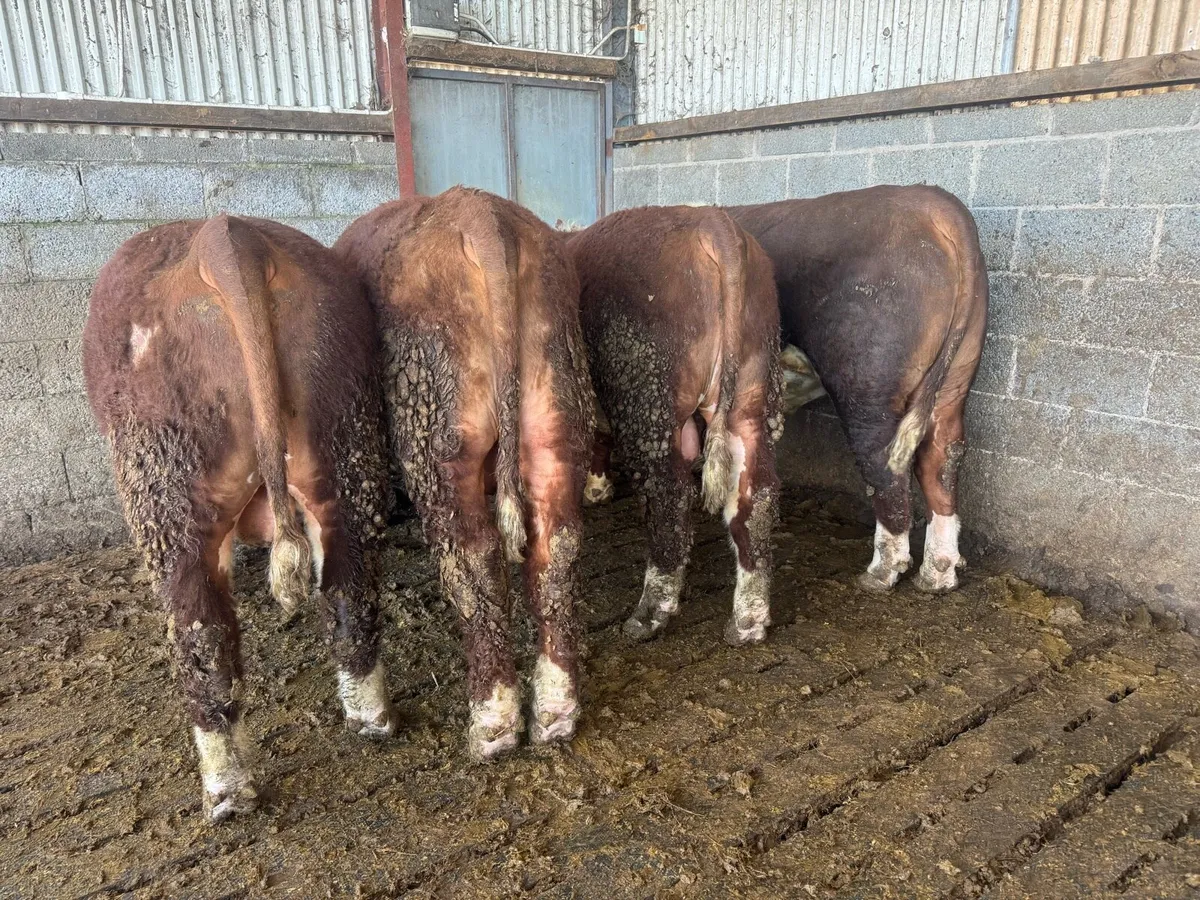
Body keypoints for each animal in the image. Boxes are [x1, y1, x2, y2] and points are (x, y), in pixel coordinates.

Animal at [83, 215, 394, 823]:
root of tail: (224, 238)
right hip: (344, 438)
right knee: (349, 591)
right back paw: (370, 720)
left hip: (166, 481)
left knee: (202, 637)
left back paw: (227, 792)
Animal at [334, 187, 594, 760]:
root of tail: (481, 215)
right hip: (557, 409)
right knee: (557, 548)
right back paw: (555, 713)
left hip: (438, 437)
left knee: (473, 558)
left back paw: (492, 723)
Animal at [568, 206, 784, 646]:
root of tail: (711, 223)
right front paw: (597, 487)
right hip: (752, 393)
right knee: (755, 496)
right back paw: (748, 621)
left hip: (646, 392)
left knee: (669, 498)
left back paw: (650, 613)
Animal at [726, 185, 988, 594]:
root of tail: (936, 204)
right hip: (956, 375)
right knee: (943, 454)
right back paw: (937, 576)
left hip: (868, 379)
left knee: (884, 461)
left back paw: (879, 574)